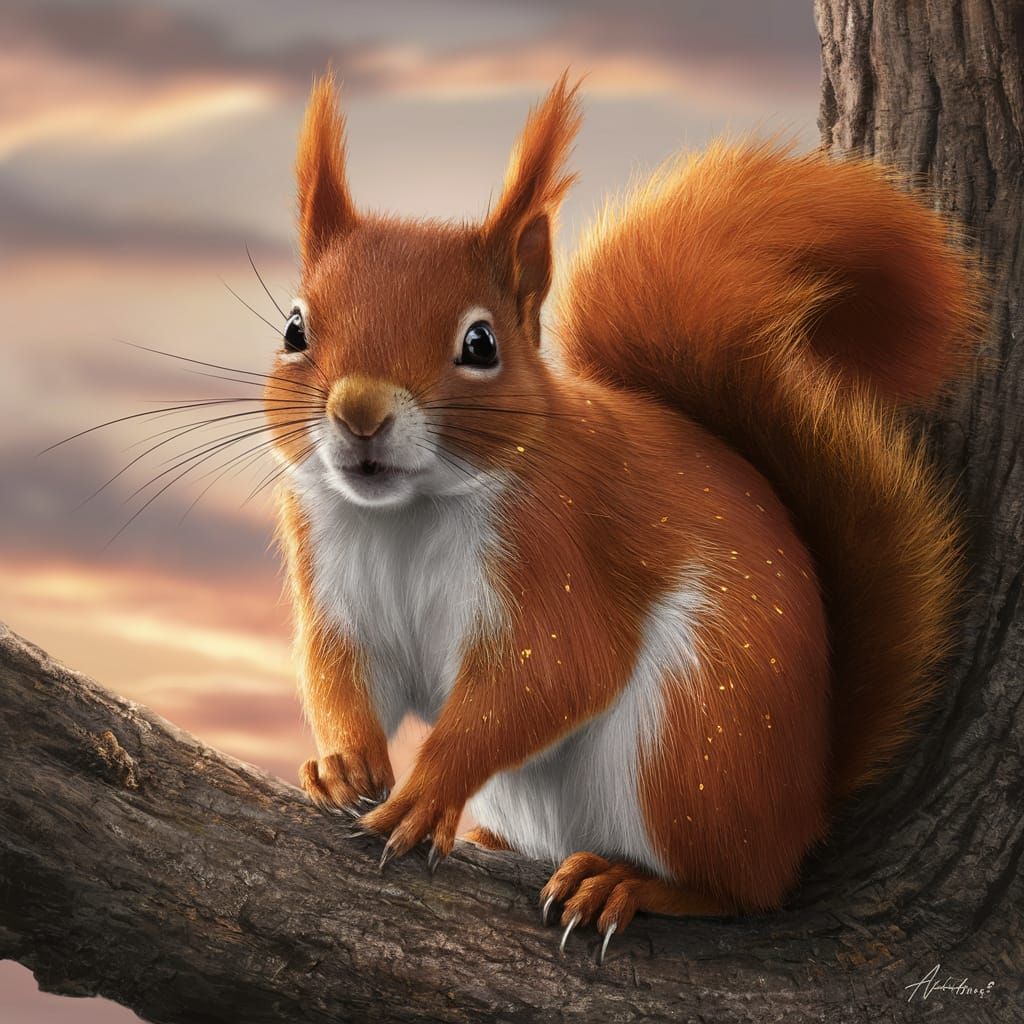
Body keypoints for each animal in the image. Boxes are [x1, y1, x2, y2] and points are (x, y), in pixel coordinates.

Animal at [268, 73, 983, 957]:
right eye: (294, 328)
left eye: (481, 343)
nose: (360, 412)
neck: (409, 511)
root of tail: (805, 804)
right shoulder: (331, 578)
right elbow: (339, 669)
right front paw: (340, 763)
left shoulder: (561, 553)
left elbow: (551, 676)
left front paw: (426, 793)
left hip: (695, 742)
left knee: (740, 890)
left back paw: (628, 882)